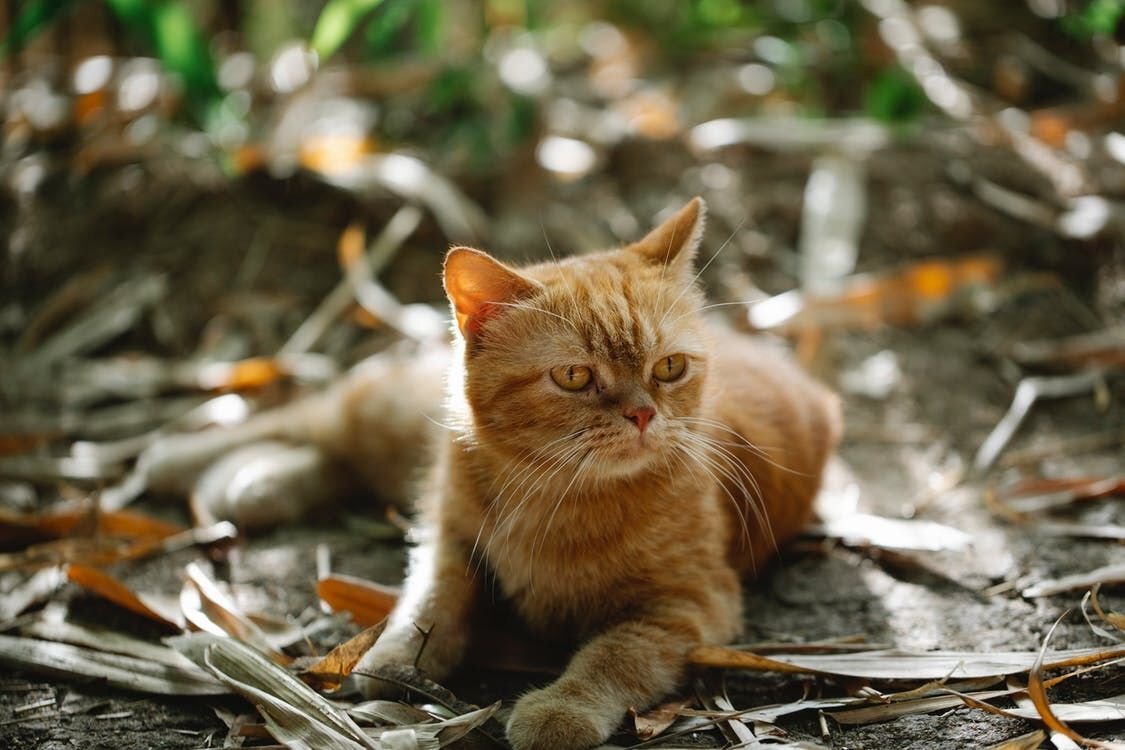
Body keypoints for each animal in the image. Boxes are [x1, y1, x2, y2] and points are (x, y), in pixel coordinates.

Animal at [355, 197, 841, 750]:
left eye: (669, 367)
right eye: (574, 376)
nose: (643, 414)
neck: (553, 494)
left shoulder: (689, 602)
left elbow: (615, 656)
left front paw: (563, 707)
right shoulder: (448, 538)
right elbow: (430, 599)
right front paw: (395, 657)